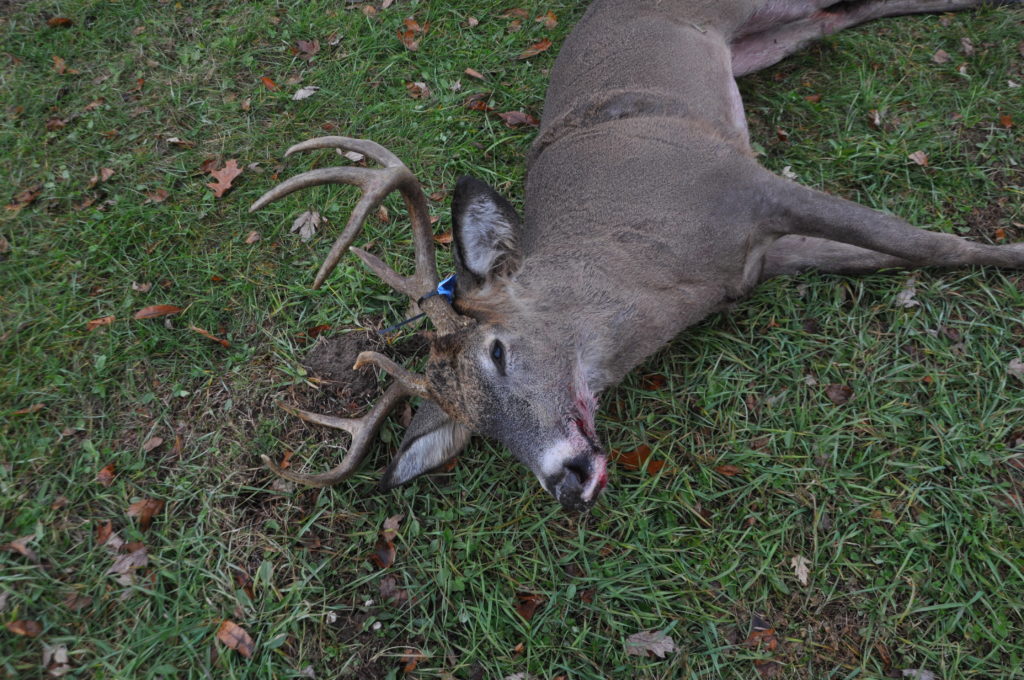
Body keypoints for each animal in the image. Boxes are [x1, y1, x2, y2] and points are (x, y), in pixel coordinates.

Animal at [250, 0, 1024, 512]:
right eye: (477, 426)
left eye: (497, 350)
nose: (563, 480)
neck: (663, 269)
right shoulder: (763, 259)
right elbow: (893, 255)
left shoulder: (746, 185)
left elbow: (924, 240)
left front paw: (1014, 253)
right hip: (765, 39)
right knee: (842, 15)